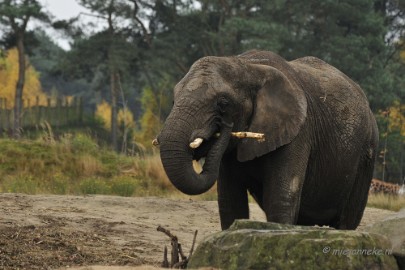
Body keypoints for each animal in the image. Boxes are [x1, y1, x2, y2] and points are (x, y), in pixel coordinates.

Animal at [155, 49, 378, 229]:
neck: (249, 66)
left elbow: (280, 200)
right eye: (174, 101)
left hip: (367, 154)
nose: (225, 125)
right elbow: (230, 204)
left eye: (223, 103)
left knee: (347, 221)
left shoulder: (299, 132)